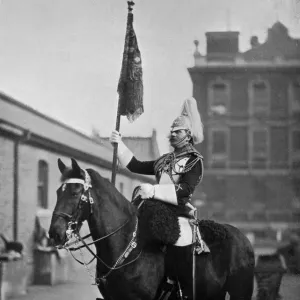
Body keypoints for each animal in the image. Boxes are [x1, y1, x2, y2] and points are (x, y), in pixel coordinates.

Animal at [48, 158, 254, 298]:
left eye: (75, 192)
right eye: (58, 192)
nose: (54, 233)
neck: (128, 245)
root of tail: (244, 239)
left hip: (239, 292)